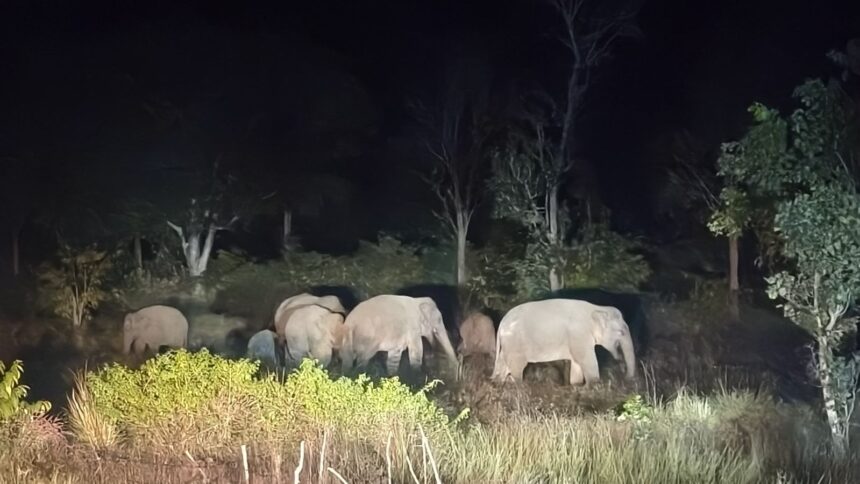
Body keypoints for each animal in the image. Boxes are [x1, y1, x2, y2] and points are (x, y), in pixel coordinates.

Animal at [491, 299, 636, 385]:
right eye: (621, 333)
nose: (625, 378)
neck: (597, 308)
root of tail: (502, 322)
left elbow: (576, 363)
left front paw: (576, 385)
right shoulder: (580, 335)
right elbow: (588, 361)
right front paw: (593, 385)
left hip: (509, 344)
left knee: (503, 363)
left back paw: (498, 382)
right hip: (515, 343)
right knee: (517, 367)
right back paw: (519, 386)